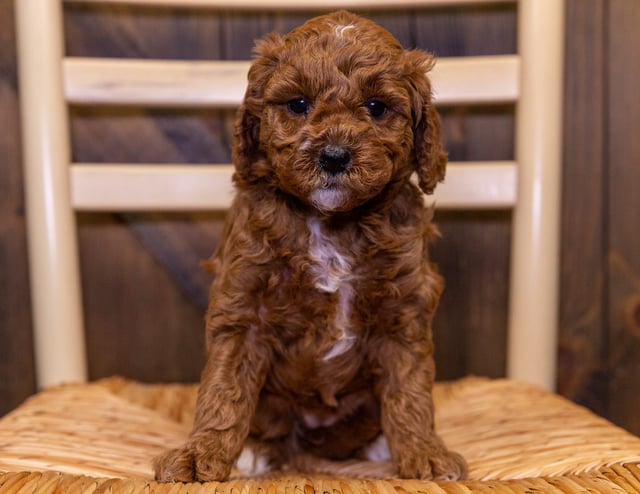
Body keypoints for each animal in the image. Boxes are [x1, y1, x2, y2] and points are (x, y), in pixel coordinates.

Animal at [154, 10, 464, 482]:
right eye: (298, 104)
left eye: (376, 107)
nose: (334, 155)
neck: (330, 222)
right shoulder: (243, 308)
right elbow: (224, 390)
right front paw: (199, 453)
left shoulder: (403, 312)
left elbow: (409, 389)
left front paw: (424, 453)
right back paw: (257, 450)